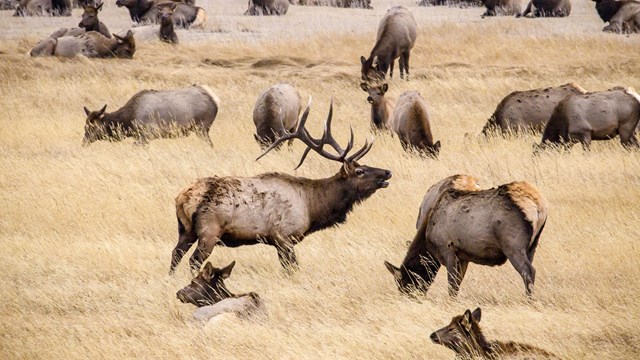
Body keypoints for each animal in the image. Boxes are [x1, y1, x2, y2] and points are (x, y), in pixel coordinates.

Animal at [82, 84, 220, 145]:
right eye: (85, 126)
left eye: (93, 127)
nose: (84, 142)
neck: (128, 121)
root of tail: (215, 100)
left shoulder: (146, 135)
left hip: (202, 128)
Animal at [169, 97, 390, 272]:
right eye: (360, 172)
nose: (388, 172)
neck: (312, 207)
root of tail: (183, 197)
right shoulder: (284, 237)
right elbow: (291, 269)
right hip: (209, 230)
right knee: (194, 260)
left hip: (185, 230)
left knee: (175, 255)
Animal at [382, 174, 548, 296]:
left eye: (405, 284)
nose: (409, 298)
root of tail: (539, 206)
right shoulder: (463, 256)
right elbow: (458, 283)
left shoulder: (447, 249)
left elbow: (452, 285)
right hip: (532, 245)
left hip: (512, 244)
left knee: (528, 271)